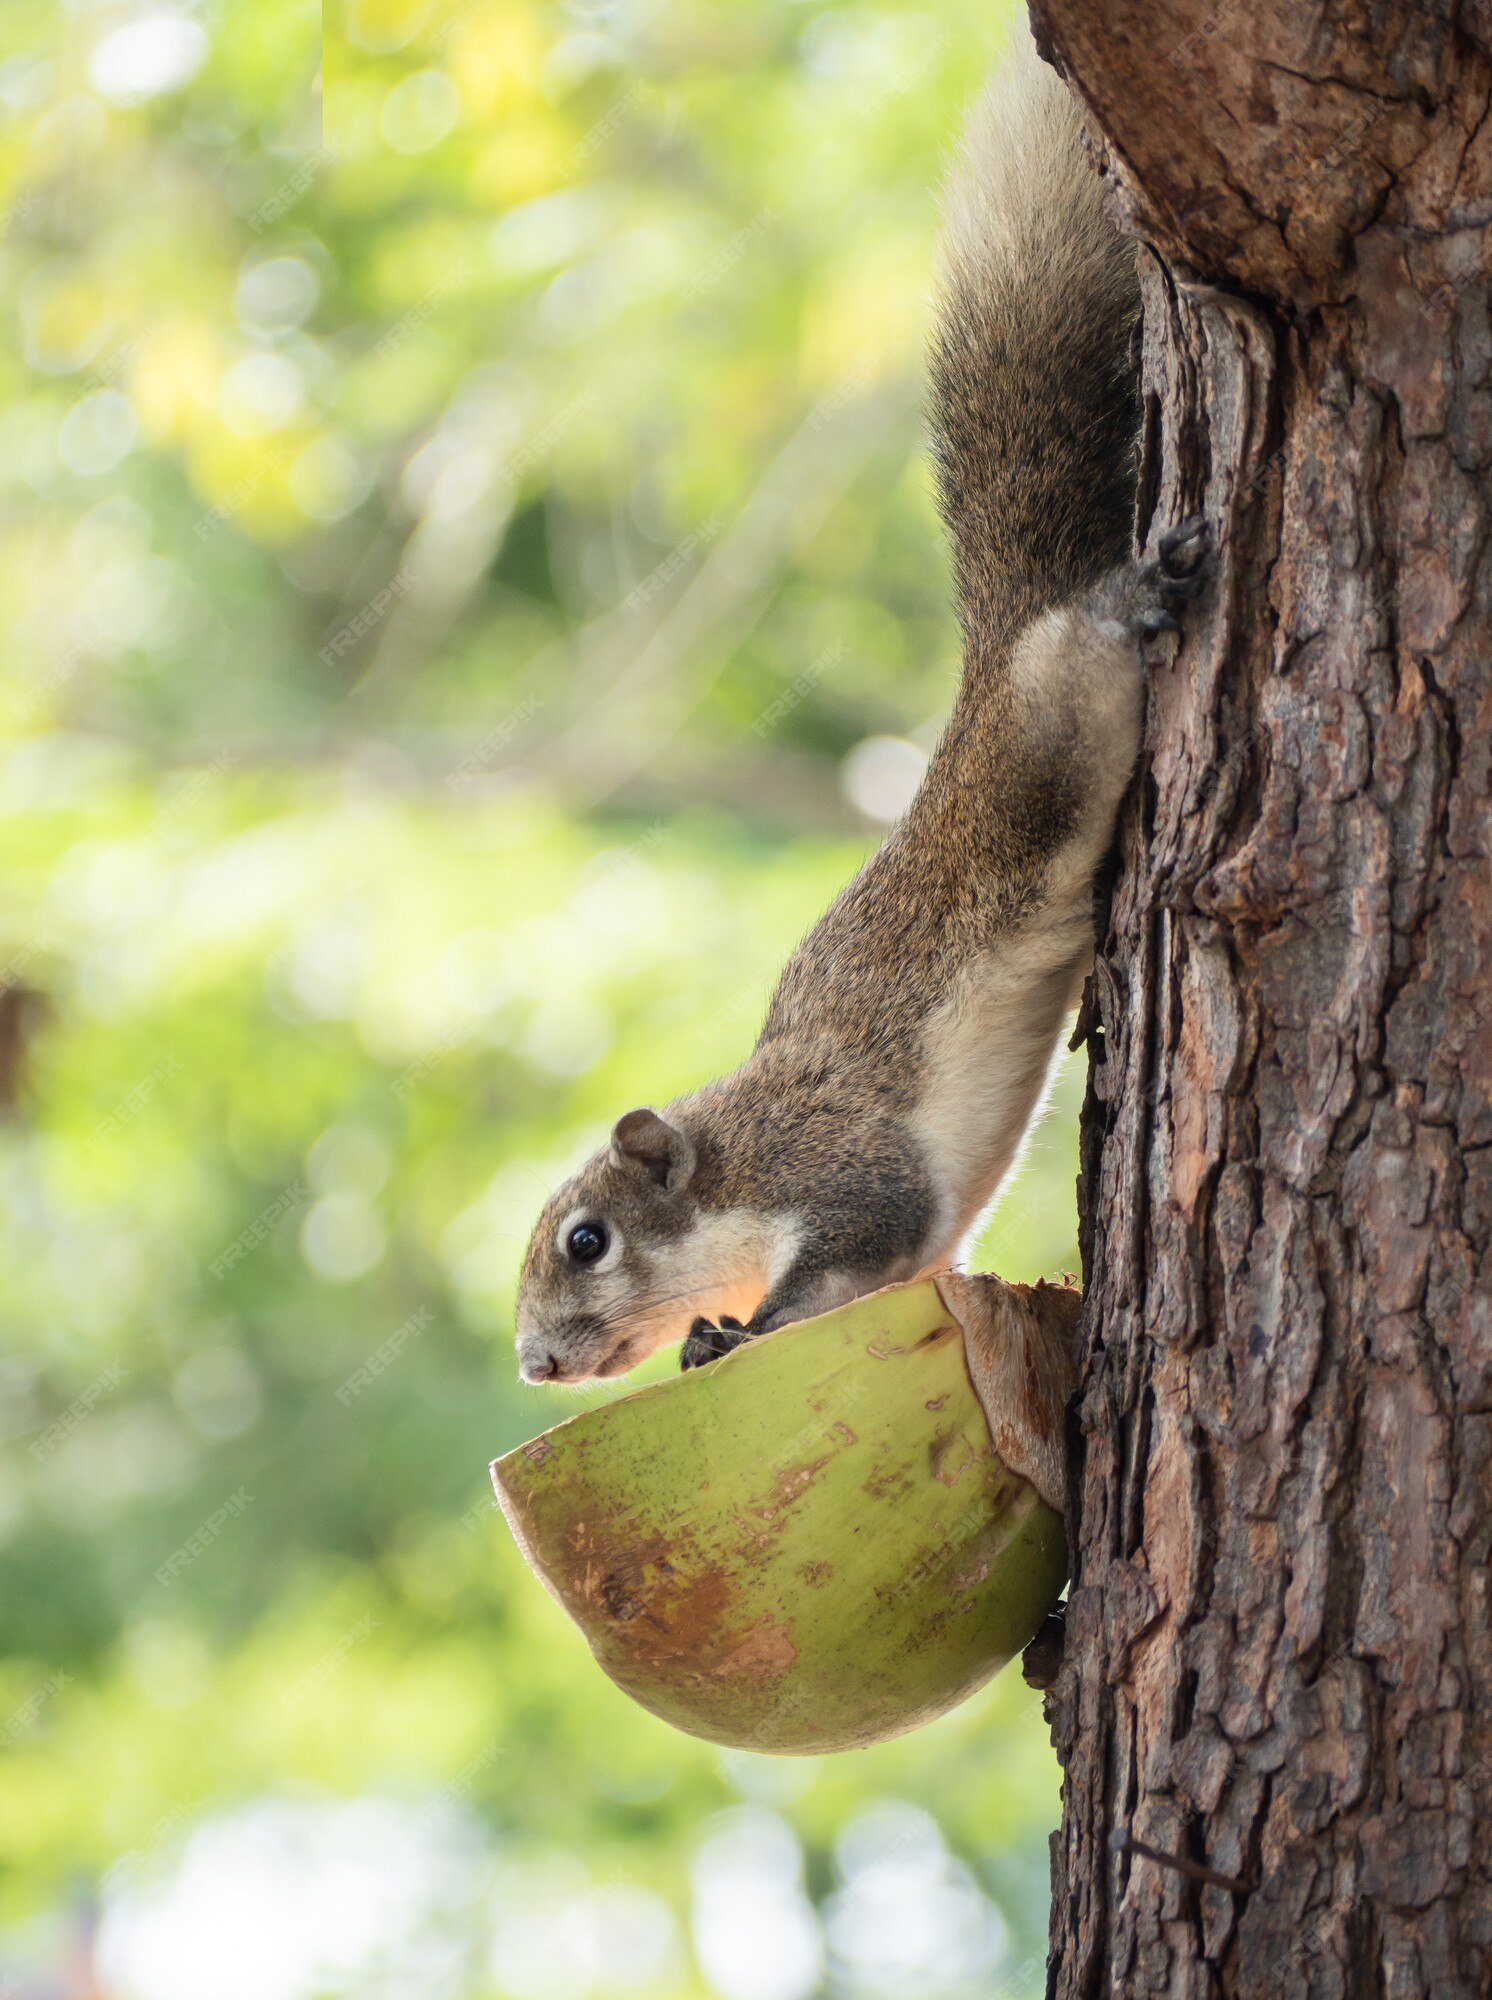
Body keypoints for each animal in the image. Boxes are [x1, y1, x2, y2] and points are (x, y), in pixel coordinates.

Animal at [512, 23, 1208, 1384]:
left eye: (585, 1240)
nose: (533, 1367)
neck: (730, 1168)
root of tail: (997, 649)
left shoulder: (835, 1167)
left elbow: (855, 1247)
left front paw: (731, 1333)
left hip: (1048, 725)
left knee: (1082, 647)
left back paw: (1133, 597)